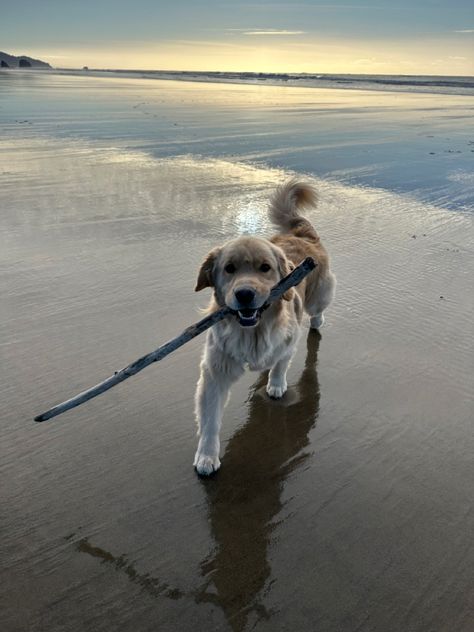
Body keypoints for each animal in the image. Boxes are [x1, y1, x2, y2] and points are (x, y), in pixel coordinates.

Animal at [192, 179, 334, 474]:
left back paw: (317, 323)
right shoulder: (215, 371)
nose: (245, 294)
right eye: (229, 268)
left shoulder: (288, 341)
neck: (251, 331)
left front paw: (276, 386)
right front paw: (207, 456)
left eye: (265, 267)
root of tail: (302, 235)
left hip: (320, 295)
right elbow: (210, 419)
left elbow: (281, 364)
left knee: (317, 311)